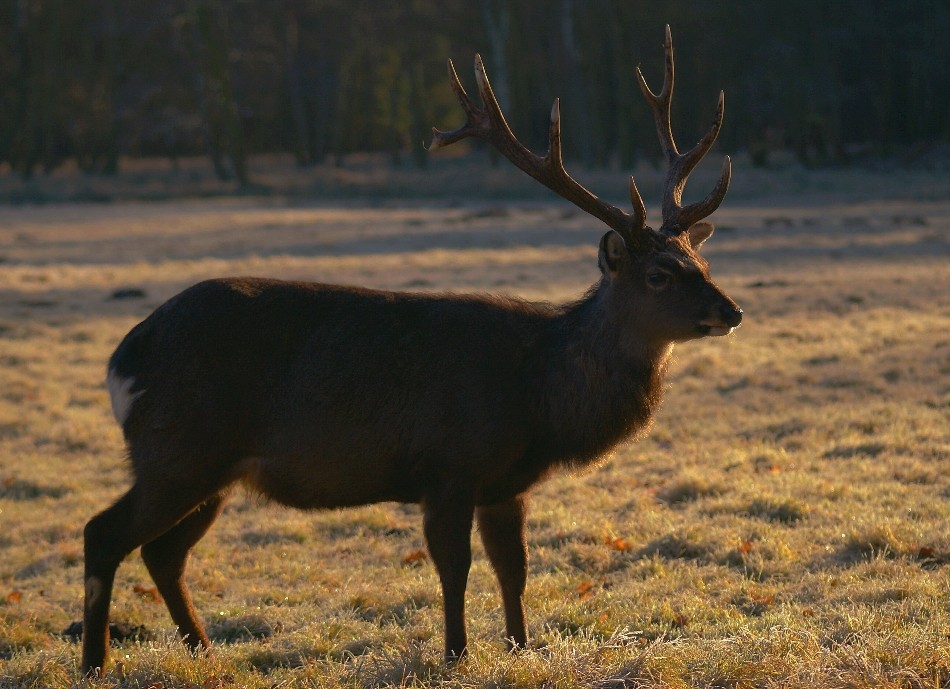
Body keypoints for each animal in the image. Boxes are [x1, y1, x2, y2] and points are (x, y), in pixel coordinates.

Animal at [82, 26, 744, 672]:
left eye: (702, 262)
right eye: (658, 274)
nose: (731, 311)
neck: (539, 394)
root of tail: (123, 361)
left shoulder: (507, 484)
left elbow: (515, 570)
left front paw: (521, 647)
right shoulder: (447, 463)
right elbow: (455, 570)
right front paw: (456, 656)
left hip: (213, 468)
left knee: (162, 553)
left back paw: (203, 650)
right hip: (179, 447)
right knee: (103, 532)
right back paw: (96, 662)